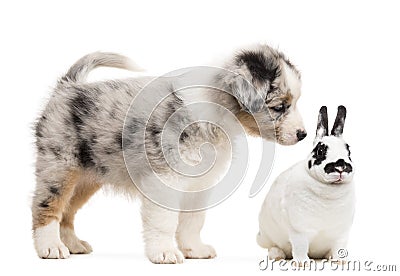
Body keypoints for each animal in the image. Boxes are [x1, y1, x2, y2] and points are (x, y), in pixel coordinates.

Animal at [32, 44, 306, 264]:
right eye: (279, 107)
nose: (303, 134)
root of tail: (67, 87)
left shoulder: (199, 184)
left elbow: (193, 221)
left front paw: (194, 249)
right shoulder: (165, 180)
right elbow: (164, 222)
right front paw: (164, 253)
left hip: (87, 179)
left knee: (67, 212)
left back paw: (72, 244)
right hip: (59, 168)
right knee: (47, 207)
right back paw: (51, 247)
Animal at [258, 105, 354, 264]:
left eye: (349, 151)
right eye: (320, 151)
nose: (341, 166)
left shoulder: (341, 234)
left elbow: (339, 248)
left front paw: (342, 262)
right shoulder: (299, 231)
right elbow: (301, 246)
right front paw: (304, 263)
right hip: (269, 237)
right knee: (273, 247)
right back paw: (277, 255)